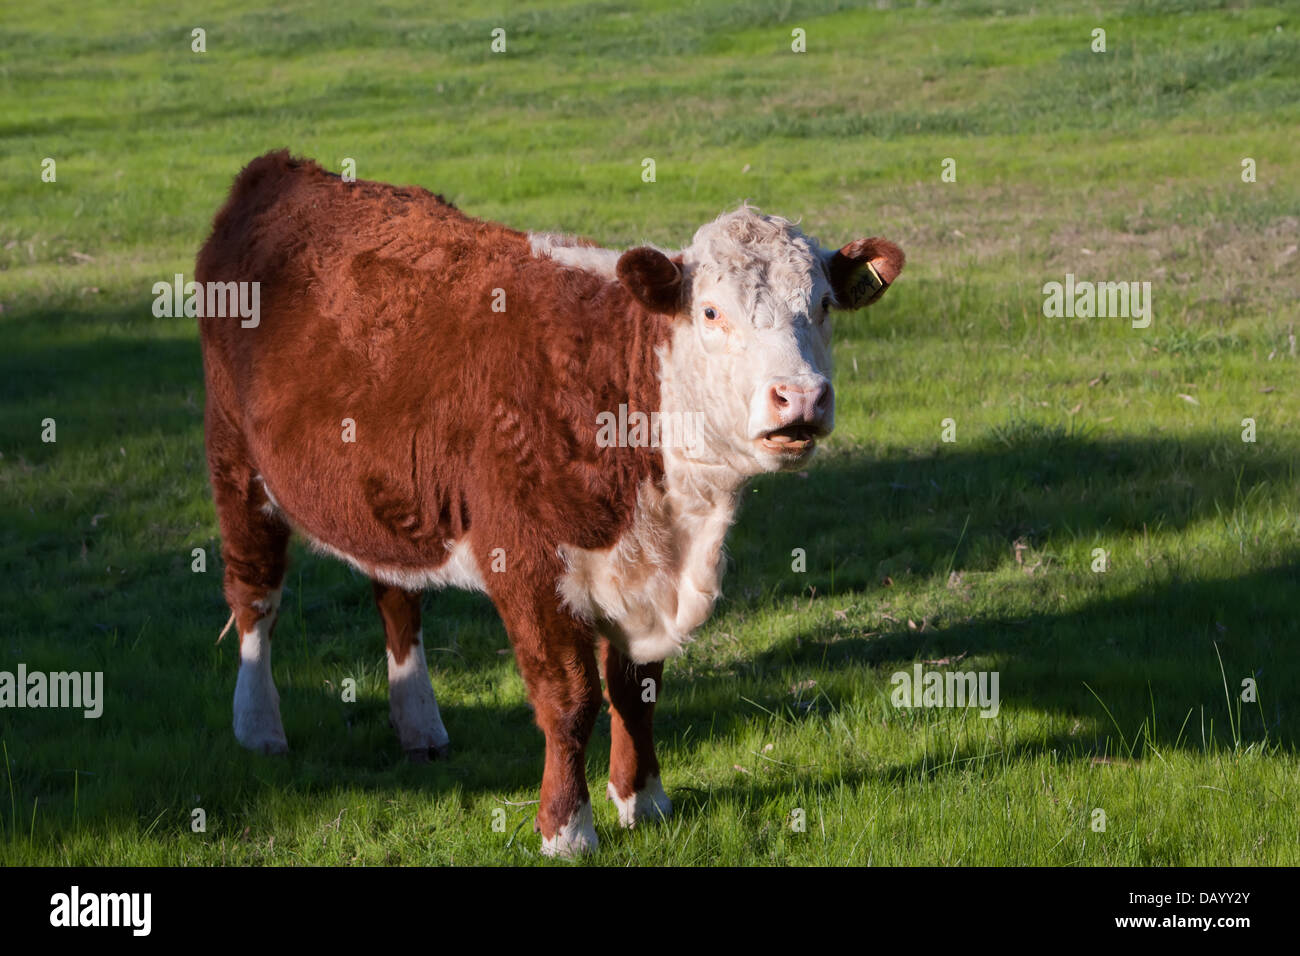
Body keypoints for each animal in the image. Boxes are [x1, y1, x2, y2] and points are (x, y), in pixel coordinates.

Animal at [195, 151, 904, 858]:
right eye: (709, 312)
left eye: (822, 305)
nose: (801, 397)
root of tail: (282, 171)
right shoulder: (528, 563)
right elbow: (570, 699)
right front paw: (566, 827)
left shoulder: (645, 567)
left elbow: (636, 691)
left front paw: (643, 799)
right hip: (235, 461)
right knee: (254, 595)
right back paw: (259, 726)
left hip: (387, 496)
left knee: (397, 598)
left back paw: (419, 726)